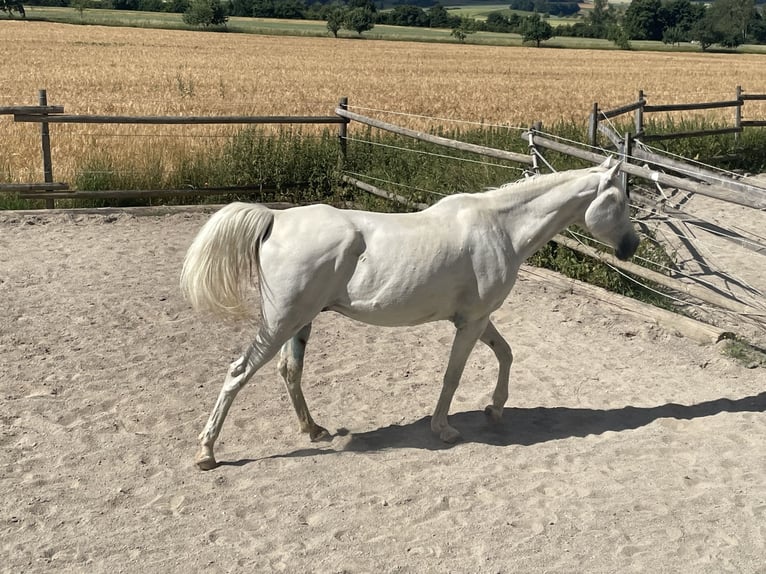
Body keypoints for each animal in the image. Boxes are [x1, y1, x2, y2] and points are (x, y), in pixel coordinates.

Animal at [181, 157, 639, 470]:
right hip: (280, 322)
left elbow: (506, 354)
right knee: (239, 372)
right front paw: (445, 429)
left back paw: (314, 430)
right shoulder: (471, 323)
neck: (502, 227)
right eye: (617, 200)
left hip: (299, 322)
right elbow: (454, 375)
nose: (632, 247)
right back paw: (206, 452)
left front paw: (494, 409)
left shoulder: (478, 319)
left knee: (289, 372)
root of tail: (275, 218)